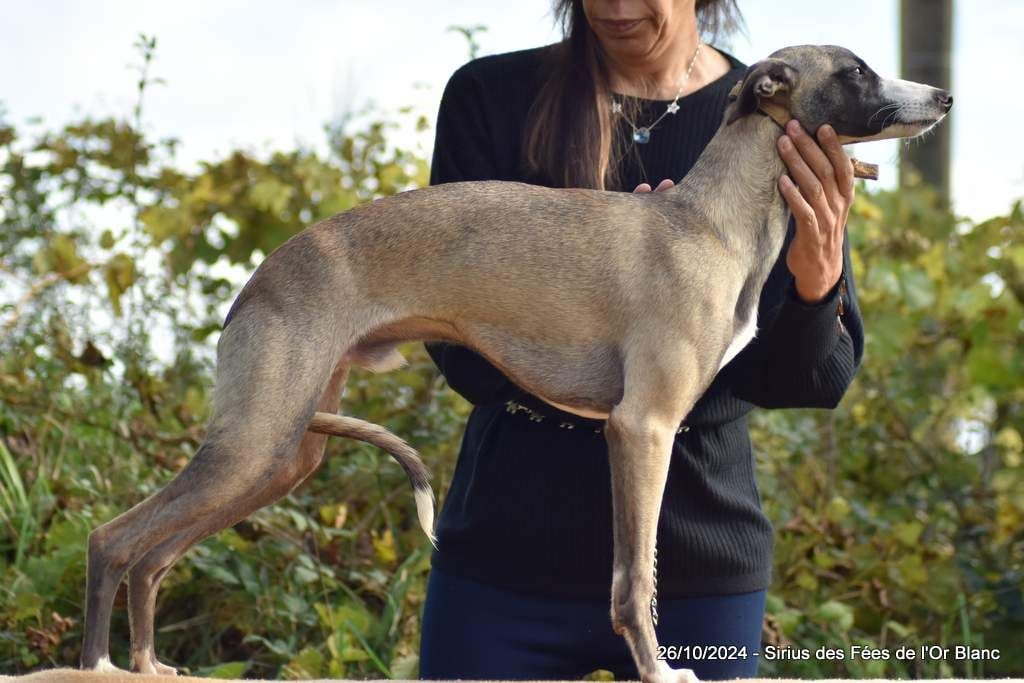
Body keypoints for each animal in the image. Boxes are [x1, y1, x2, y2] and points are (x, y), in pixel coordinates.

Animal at [81, 45, 950, 679]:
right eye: (856, 70)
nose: (943, 96)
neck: (707, 220)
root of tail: (257, 282)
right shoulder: (641, 428)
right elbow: (634, 581)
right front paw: (660, 669)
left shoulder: (644, 430)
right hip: (255, 439)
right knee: (115, 540)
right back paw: (101, 662)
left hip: (287, 450)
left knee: (154, 557)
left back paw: (149, 664)